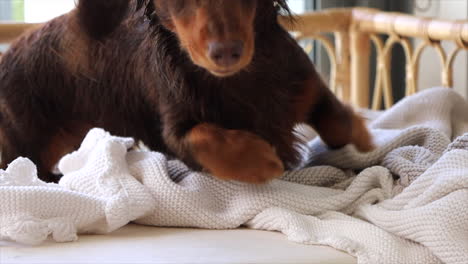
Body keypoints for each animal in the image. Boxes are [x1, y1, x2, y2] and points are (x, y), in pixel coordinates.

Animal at [0, 0, 372, 183]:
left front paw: (364, 138)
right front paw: (261, 160)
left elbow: (337, 122)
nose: (226, 51)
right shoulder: (169, 132)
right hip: (27, 145)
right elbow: (205, 136)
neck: (239, 78)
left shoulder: (304, 85)